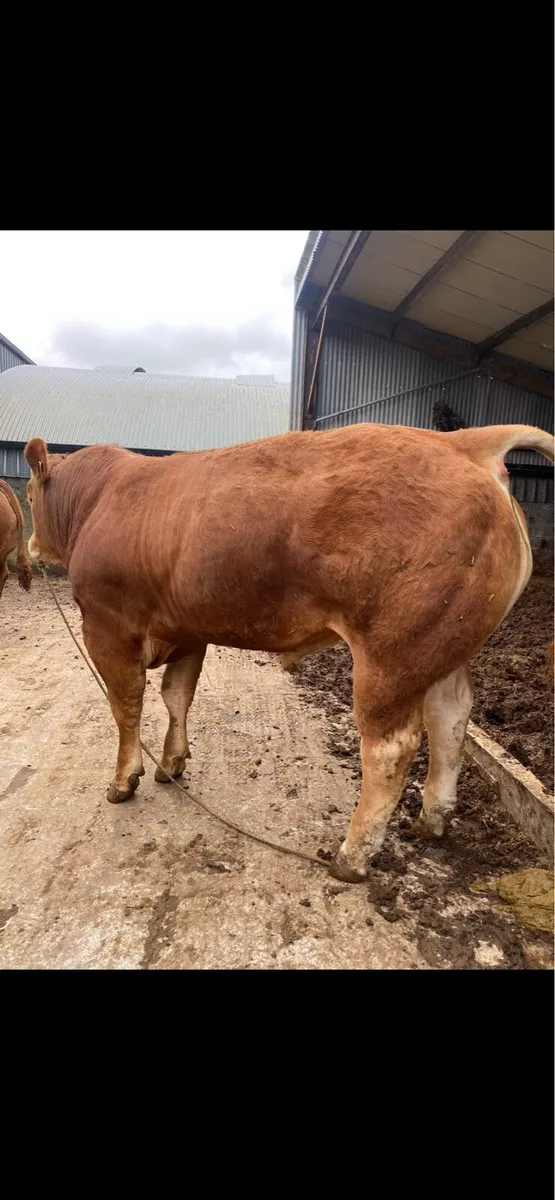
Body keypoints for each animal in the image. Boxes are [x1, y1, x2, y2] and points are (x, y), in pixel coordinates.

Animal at [24, 422, 554, 882]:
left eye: (28, 495)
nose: (28, 544)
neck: (99, 500)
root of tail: (461, 442)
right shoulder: (189, 630)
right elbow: (177, 698)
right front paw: (171, 763)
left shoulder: (107, 627)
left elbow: (126, 706)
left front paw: (123, 780)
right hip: (444, 645)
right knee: (451, 719)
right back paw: (432, 820)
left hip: (392, 655)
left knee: (391, 747)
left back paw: (352, 856)